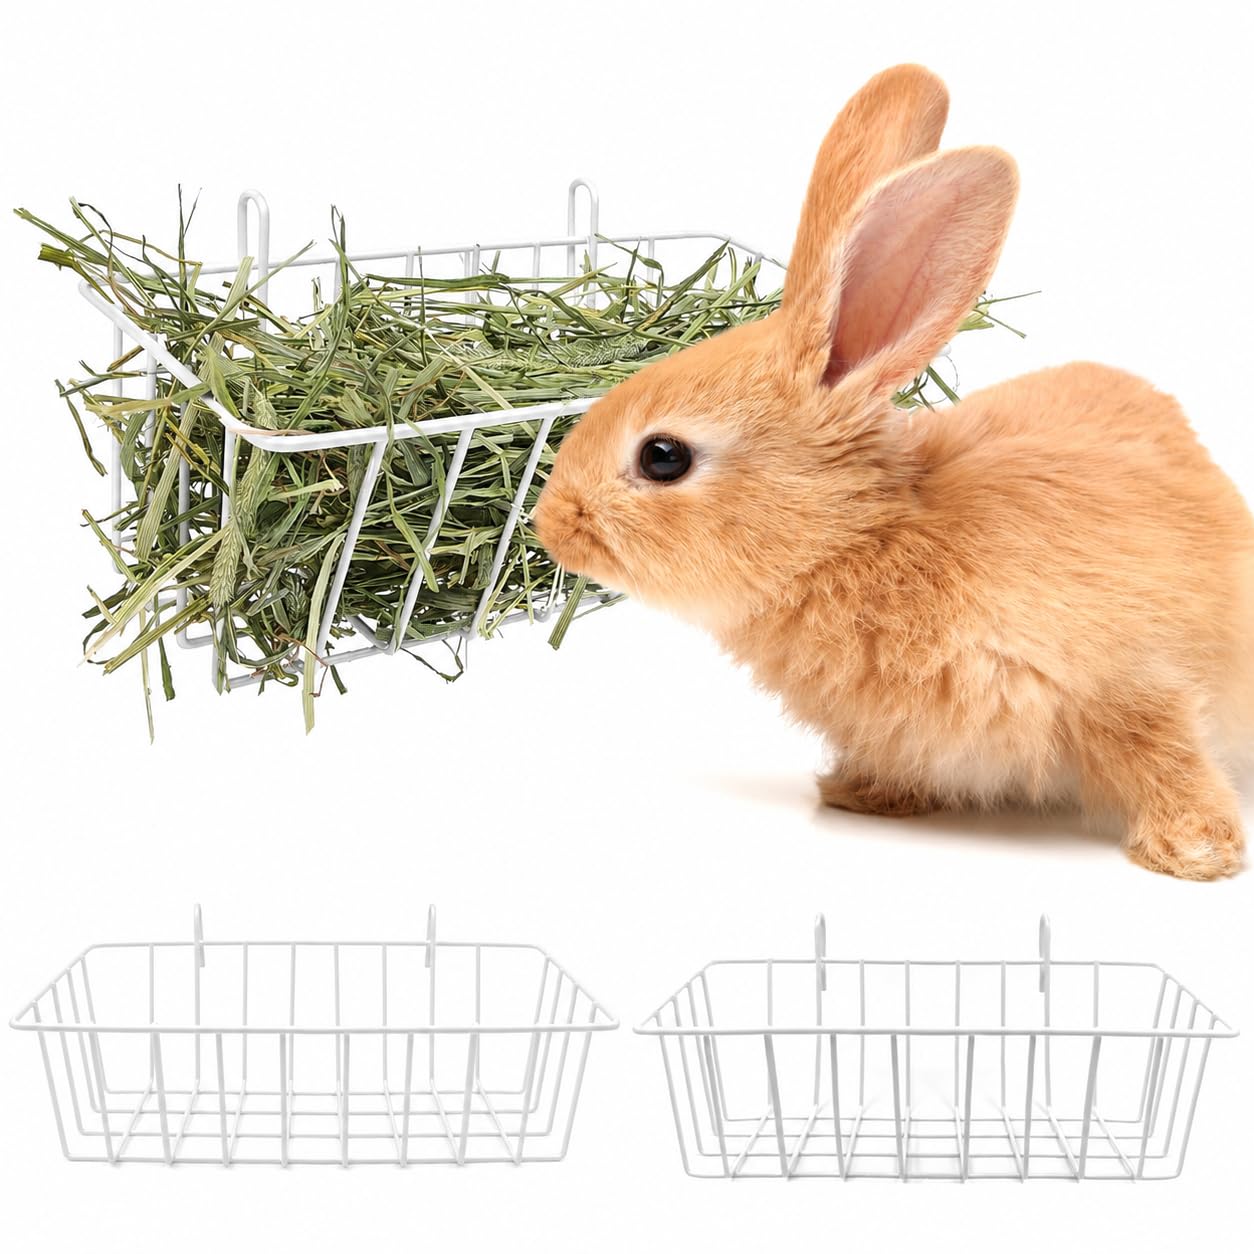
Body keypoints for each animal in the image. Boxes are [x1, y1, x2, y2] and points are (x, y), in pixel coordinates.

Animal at [532, 63, 1254, 880]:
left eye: (663, 457)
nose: (550, 526)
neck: (865, 540)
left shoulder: (1131, 681)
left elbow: (1166, 753)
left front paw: (1194, 851)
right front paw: (862, 795)